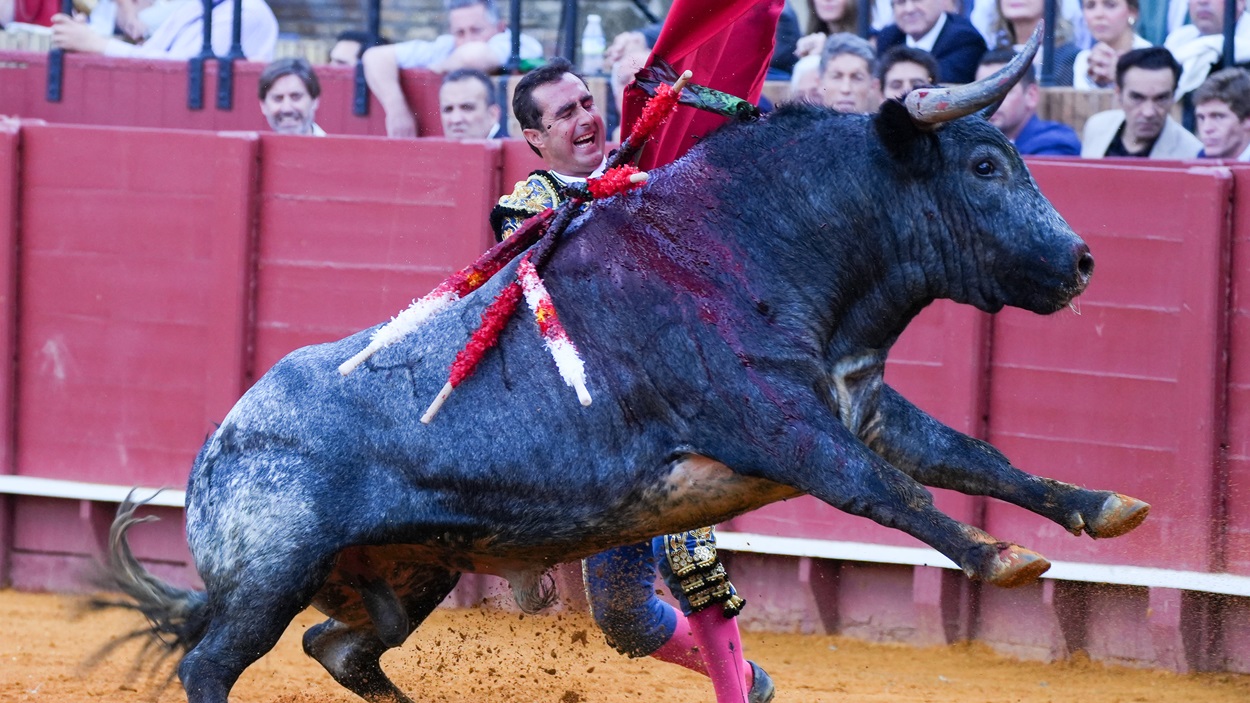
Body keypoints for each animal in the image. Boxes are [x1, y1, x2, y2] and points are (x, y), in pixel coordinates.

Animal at [102, 45, 1145, 700]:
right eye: (983, 165)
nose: (1085, 260)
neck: (750, 243)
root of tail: (216, 443)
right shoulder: (782, 423)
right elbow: (888, 490)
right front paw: (1001, 558)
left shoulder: (860, 402)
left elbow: (972, 455)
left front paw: (1101, 508)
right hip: (269, 580)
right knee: (211, 665)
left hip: (406, 572)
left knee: (341, 647)